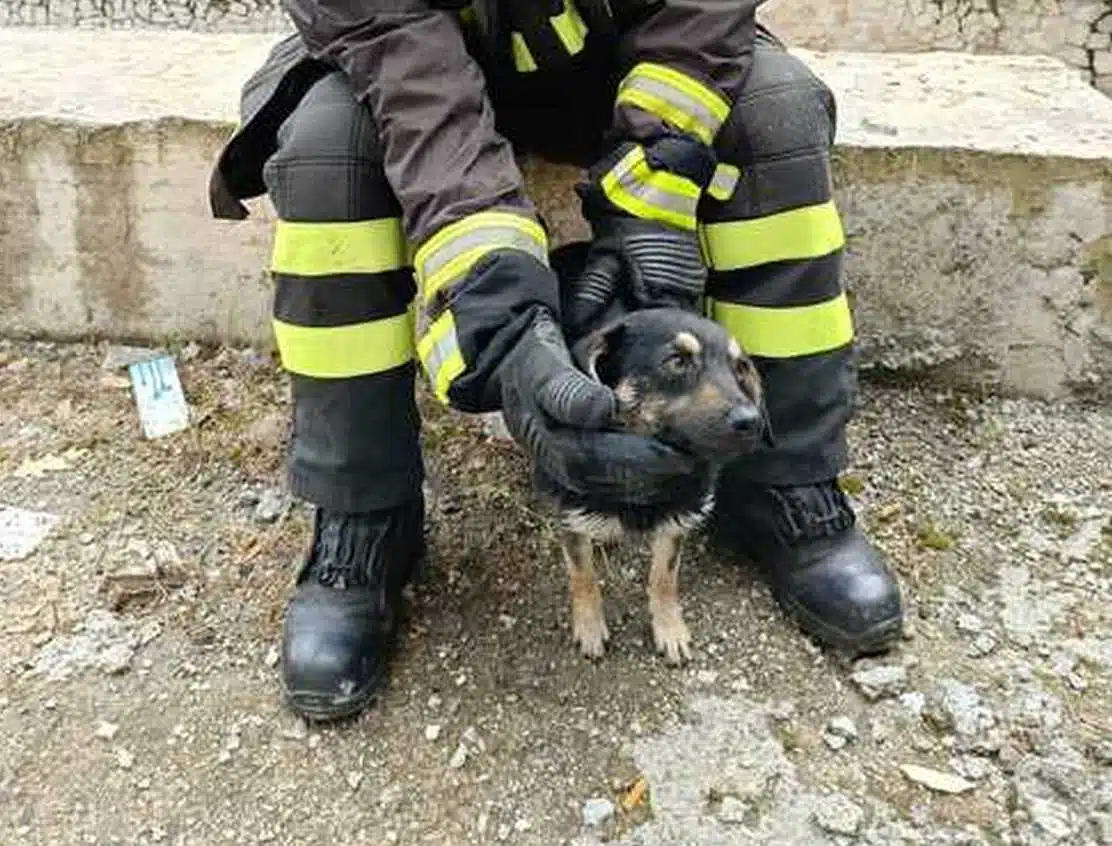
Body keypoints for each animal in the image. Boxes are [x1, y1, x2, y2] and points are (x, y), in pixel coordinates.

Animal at [533, 241, 769, 662]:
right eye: (676, 361)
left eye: (740, 368)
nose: (751, 421)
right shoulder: (570, 512)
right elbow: (582, 574)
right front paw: (589, 626)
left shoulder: (679, 515)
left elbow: (664, 575)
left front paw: (669, 627)